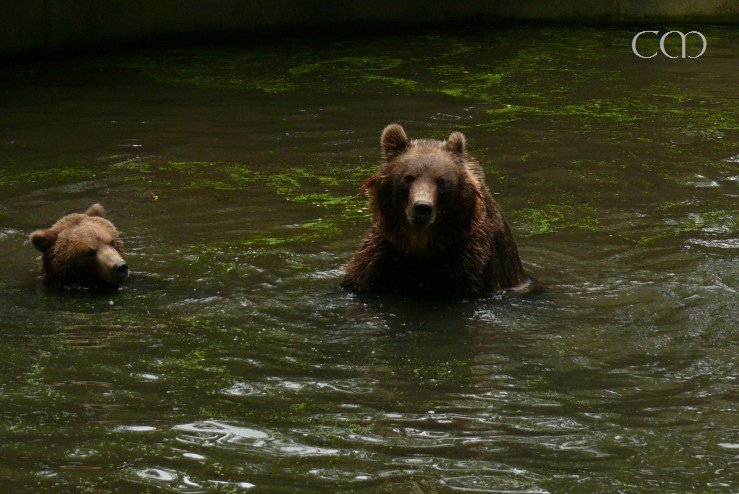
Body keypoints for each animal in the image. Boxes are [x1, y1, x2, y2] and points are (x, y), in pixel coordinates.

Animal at [341, 123, 534, 296]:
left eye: (441, 180)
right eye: (408, 177)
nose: (422, 207)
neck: (421, 245)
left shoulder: (471, 261)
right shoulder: (382, 255)